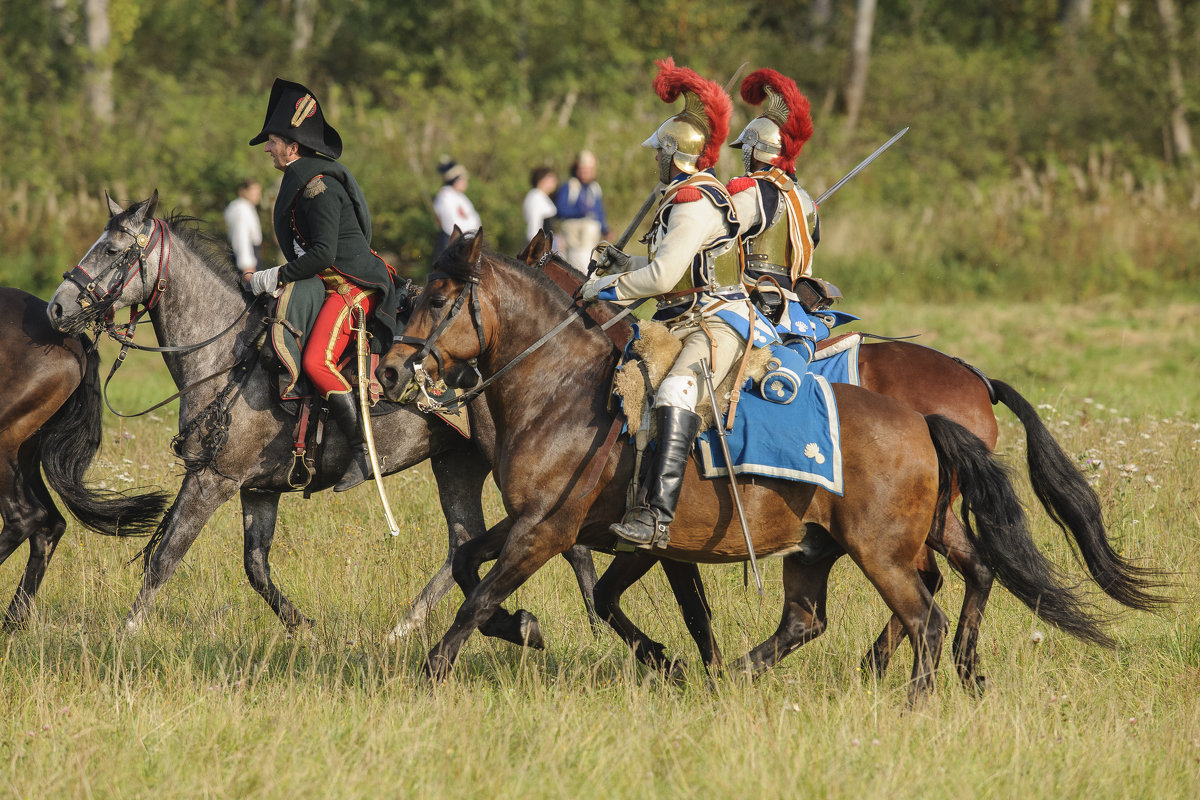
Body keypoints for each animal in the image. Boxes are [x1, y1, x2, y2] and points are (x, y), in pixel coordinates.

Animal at [0, 286, 168, 623]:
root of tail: (78, 343)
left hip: (6, 441)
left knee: (25, 518)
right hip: (25, 452)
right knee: (48, 524)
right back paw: (13, 624)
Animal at [48, 190, 595, 642]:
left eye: (113, 251)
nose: (57, 307)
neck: (228, 356)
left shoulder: (212, 479)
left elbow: (164, 558)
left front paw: (125, 634)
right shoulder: (257, 489)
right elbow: (256, 567)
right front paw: (305, 628)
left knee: (558, 540)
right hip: (455, 464)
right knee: (463, 543)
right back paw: (413, 626)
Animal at [376, 227, 1132, 695]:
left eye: (440, 299)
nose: (387, 371)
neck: (565, 392)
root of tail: (953, 397)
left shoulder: (551, 530)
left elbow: (484, 596)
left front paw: (434, 669)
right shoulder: (552, 526)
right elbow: (481, 565)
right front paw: (647, 657)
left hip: (883, 546)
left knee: (928, 606)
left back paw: (904, 681)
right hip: (845, 542)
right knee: (922, 588)